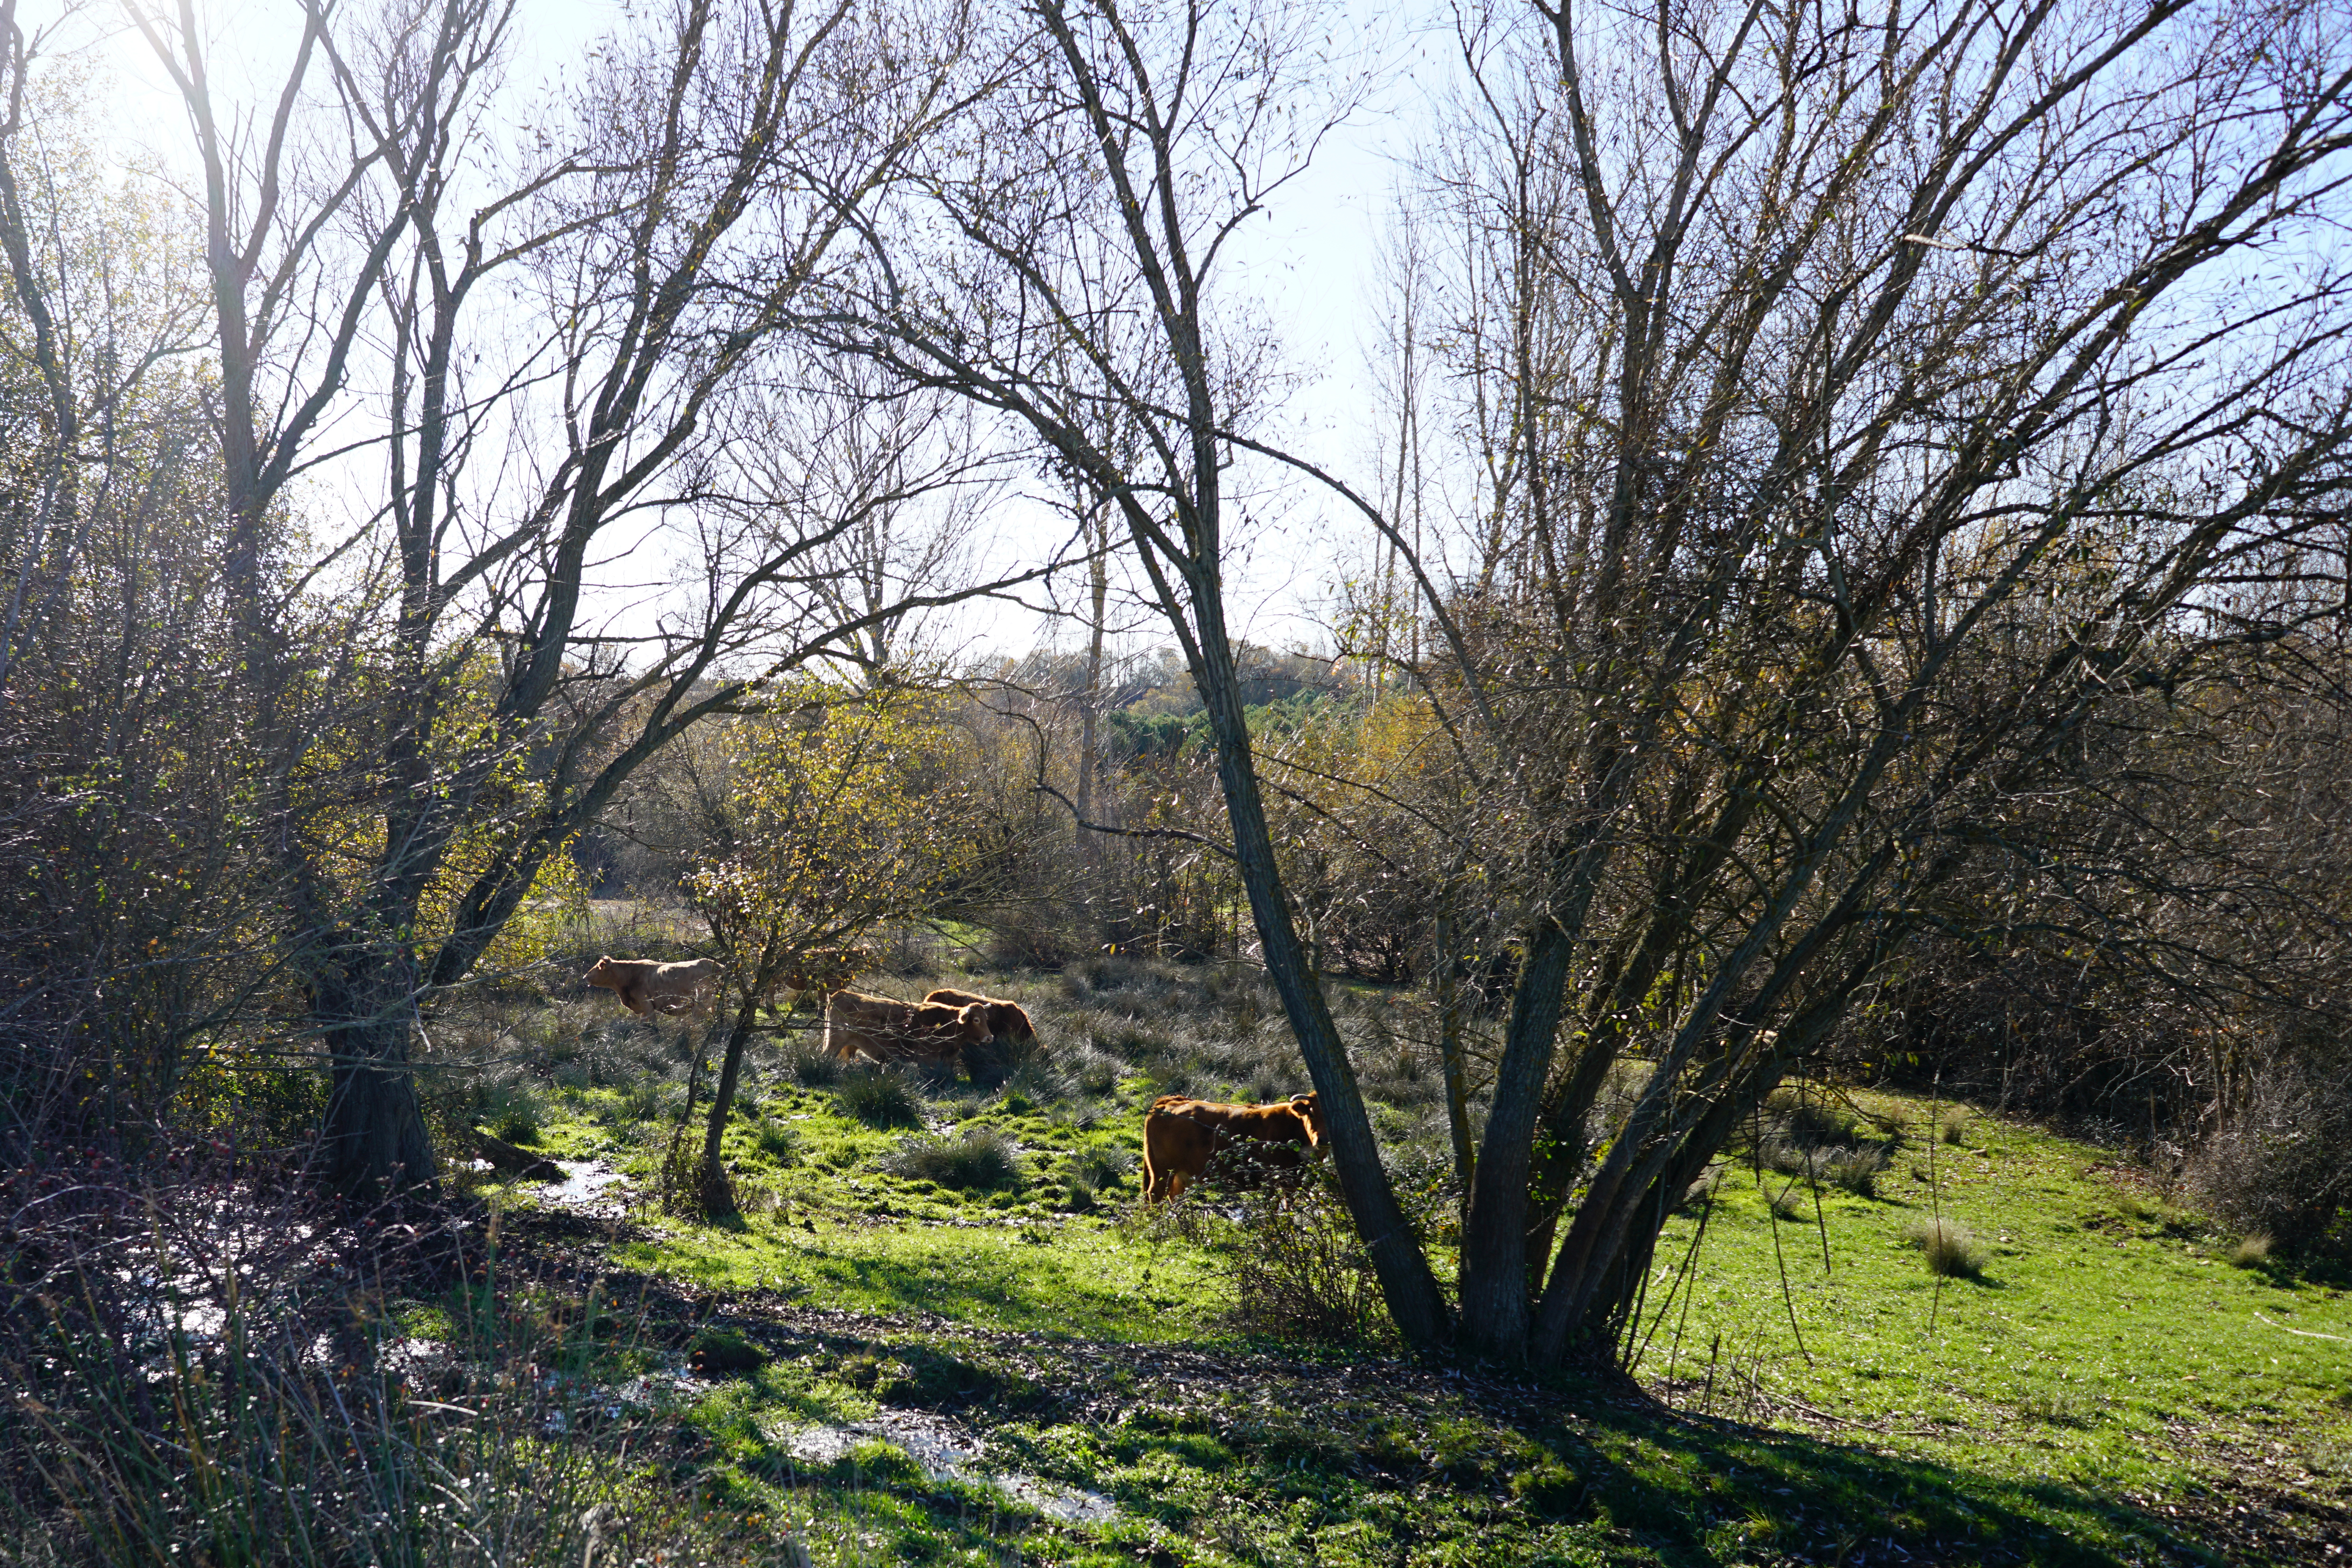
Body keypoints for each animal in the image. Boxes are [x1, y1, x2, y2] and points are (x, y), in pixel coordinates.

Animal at [828, 992, 992, 1067]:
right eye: (976, 1020)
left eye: (986, 1019)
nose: (990, 1038)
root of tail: (842, 994)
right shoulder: (926, 1060)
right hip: (834, 1043)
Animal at [1138, 1091, 1327, 1203]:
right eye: (1311, 1113)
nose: (1323, 1140)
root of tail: (1169, 1100)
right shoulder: (1273, 1180)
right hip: (1162, 1169)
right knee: (1155, 1194)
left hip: (1180, 1173)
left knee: (1174, 1196)